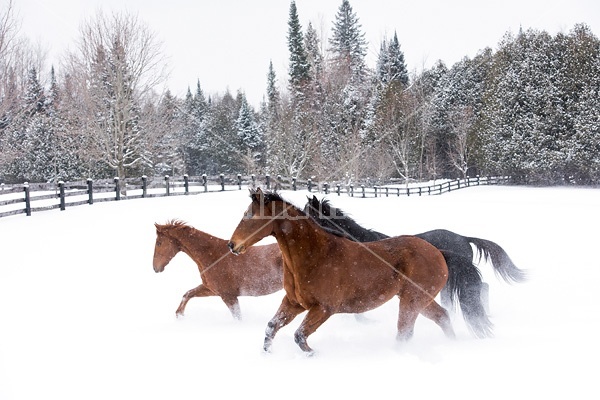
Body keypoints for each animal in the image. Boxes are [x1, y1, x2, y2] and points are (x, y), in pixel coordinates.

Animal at [152, 220, 284, 320]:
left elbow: (238, 317)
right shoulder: (212, 290)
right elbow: (188, 294)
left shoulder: (228, 296)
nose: (155, 268)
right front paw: (179, 315)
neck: (213, 256)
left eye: (159, 243)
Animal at [227, 189, 458, 354]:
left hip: (412, 301)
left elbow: (300, 337)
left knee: (405, 332)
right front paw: (267, 354)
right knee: (442, 317)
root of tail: (439, 253)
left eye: (250, 216)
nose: (232, 245)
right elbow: (271, 328)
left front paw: (313, 355)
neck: (316, 256)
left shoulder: (324, 308)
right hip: (419, 300)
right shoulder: (293, 303)